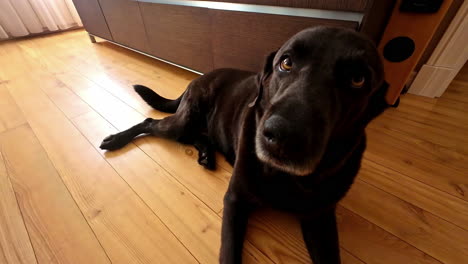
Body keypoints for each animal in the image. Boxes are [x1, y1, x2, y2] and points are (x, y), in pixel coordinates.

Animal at [100, 27, 390, 264]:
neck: (285, 177)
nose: (284, 135)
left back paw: (206, 154)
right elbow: (229, 253)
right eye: (286, 62)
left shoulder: (320, 218)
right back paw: (115, 140)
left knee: (196, 136)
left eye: (357, 79)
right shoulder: (235, 200)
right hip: (184, 119)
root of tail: (200, 77)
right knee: (152, 122)